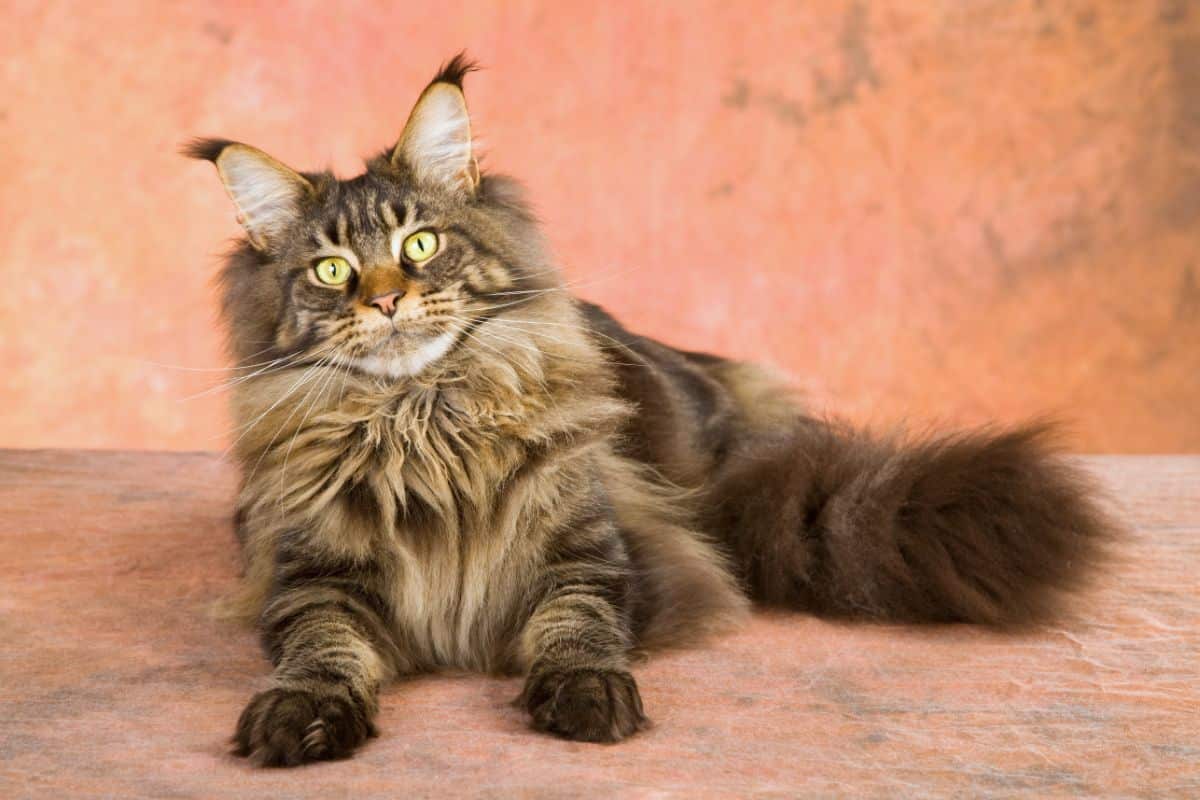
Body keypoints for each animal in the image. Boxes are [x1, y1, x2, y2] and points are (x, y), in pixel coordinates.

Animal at [184, 53, 1113, 767]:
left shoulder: (591, 554)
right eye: (332, 270)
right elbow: (322, 648)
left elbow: (579, 624)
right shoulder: (310, 581)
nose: (383, 301)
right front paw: (300, 712)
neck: (425, 419)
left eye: (420, 244)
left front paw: (587, 693)